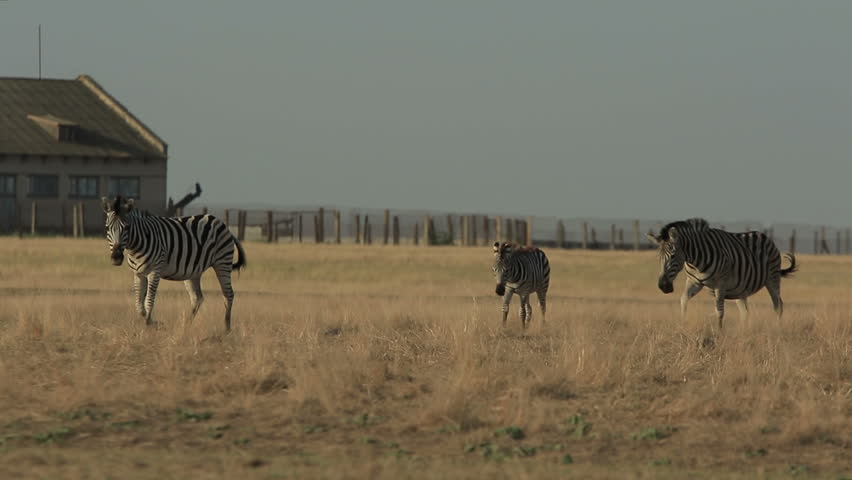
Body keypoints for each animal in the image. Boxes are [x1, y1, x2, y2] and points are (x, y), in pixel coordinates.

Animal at [102, 196, 247, 331]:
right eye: (107, 228)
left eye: (126, 227)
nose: (116, 258)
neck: (136, 246)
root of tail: (222, 223)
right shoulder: (138, 274)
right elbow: (139, 305)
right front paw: (152, 322)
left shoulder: (155, 271)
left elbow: (149, 300)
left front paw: (150, 324)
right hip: (193, 271)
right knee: (197, 298)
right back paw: (186, 326)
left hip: (222, 262)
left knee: (228, 294)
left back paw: (226, 329)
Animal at [646, 218, 796, 329]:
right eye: (658, 258)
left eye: (672, 256)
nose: (663, 286)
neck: (696, 261)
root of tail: (764, 236)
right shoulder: (694, 282)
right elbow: (683, 300)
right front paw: (682, 326)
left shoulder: (720, 284)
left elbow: (719, 311)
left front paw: (719, 333)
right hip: (740, 289)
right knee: (745, 312)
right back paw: (743, 333)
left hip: (772, 278)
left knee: (778, 305)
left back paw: (777, 329)